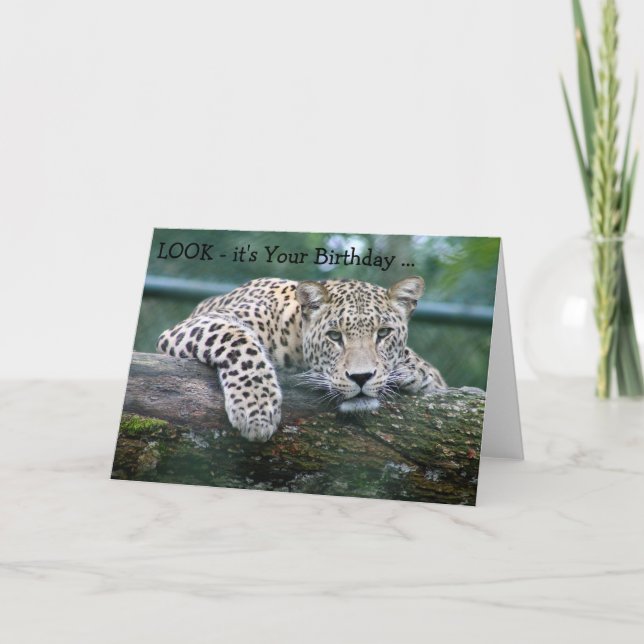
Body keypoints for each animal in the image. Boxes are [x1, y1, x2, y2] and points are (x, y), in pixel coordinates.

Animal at [156, 276, 446, 442]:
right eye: (334, 336)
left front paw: (418, 372)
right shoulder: (197, 324)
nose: (361, 377)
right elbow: (238, 340)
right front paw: (256, 409)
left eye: (383, 333)